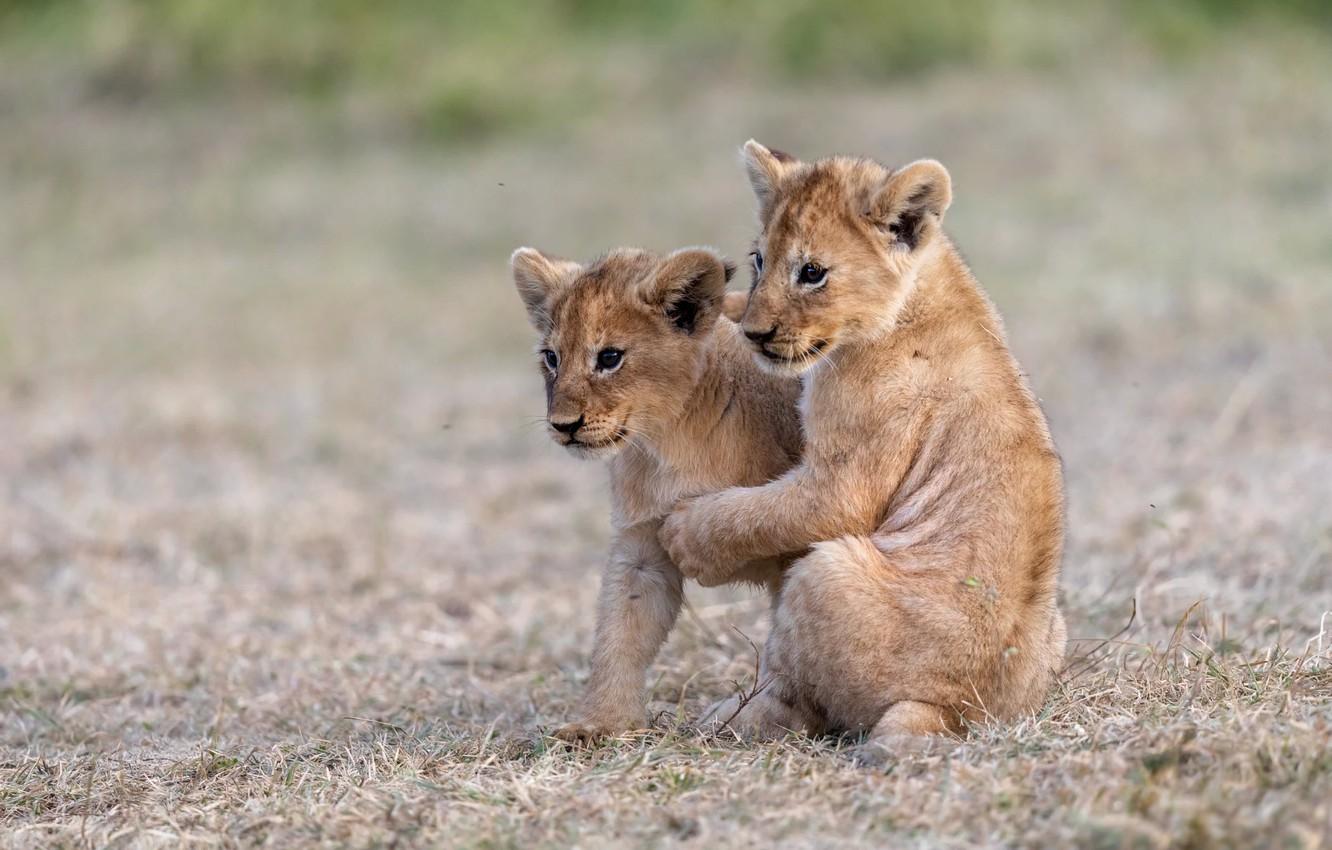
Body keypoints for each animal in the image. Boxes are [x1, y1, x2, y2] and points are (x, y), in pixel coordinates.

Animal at [511, 244, 803, 742]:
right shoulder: (644, 546)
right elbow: (620, 633)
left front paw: (766, 716)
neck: (669, 438)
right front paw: (600, 724)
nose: (563, 426)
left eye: (610, 357)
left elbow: (788, 640)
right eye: (551, 357)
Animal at [659, 142, 1067, 758]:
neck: (925, 297)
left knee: (799, 703)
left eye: (812, 273)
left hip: (824, 574)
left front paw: (685, 535)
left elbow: (761, 512)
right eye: (758, 261)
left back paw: (731, 720)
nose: (755, 334)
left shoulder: (842, 481)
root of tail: (951, 712)